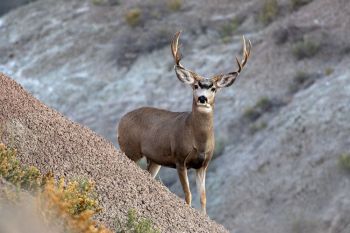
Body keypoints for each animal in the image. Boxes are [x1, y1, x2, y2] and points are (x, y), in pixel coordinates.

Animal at [118, 31, 252, 214]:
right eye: (195, 86)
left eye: (213, 88)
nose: (202, 98)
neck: (198, 140)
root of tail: (121, 120)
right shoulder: (180, 158)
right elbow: (188, 194)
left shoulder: (203, 165)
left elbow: (203, 197)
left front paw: (203, 217)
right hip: (130, 148)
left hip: (154, 160)